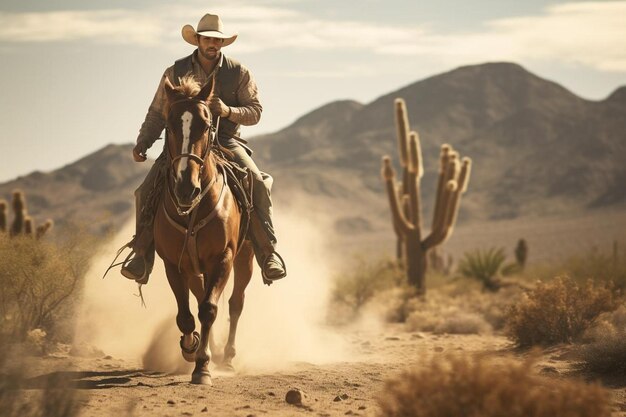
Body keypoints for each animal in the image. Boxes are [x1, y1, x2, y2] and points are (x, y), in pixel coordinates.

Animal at [154, 74, 254, 384]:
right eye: (169, 125)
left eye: (207, 125)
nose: (187, 187)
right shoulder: (173, 263)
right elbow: (186, 315)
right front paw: (190, 348)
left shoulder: (222, 258)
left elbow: (209, 309)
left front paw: (203, 367)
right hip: (194, 268)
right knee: (201, 298)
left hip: (245, 258)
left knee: (235, 303)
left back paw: (228, 357)